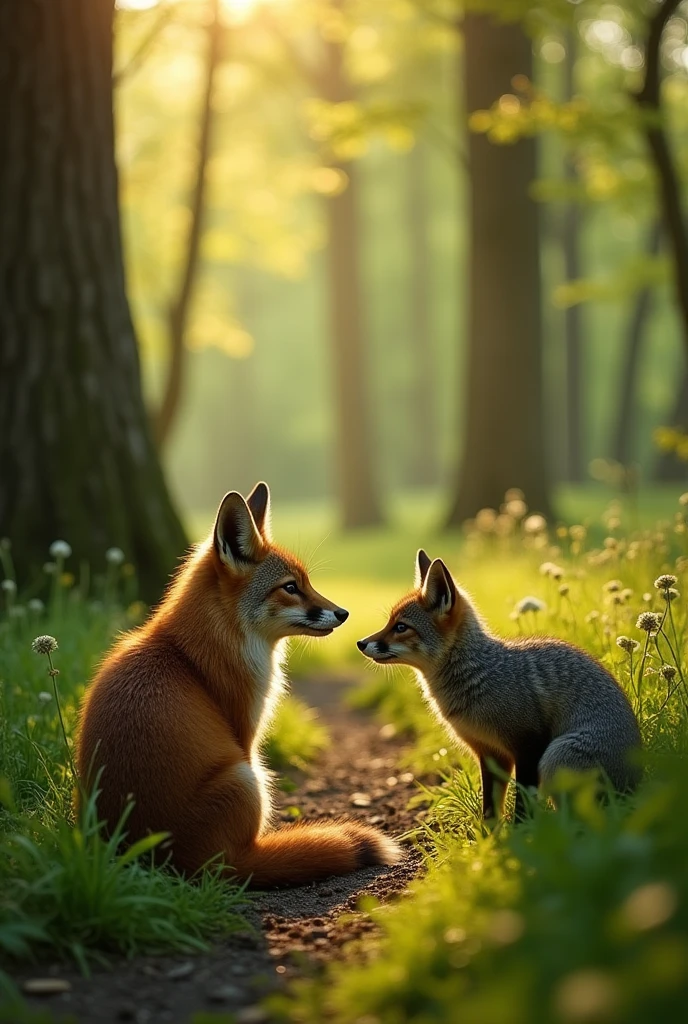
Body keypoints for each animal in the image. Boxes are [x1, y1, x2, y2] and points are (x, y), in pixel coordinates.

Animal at [77, 483, 401, 886]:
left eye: (307, 583)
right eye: (290, 587)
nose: (343, 613)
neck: (194, 649)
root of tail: (160, 861)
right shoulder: (244, 731)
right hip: (248, 778)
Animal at [358, 549, 642, 820]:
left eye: (401, 627)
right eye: (389, 623)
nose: (361, 643)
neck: (479, 676)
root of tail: (640, 781)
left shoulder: (528, 746)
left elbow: (523, 807)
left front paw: (522, 834)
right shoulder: (491, 754)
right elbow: (490, 812)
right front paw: (488, 838)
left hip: (554, 757)